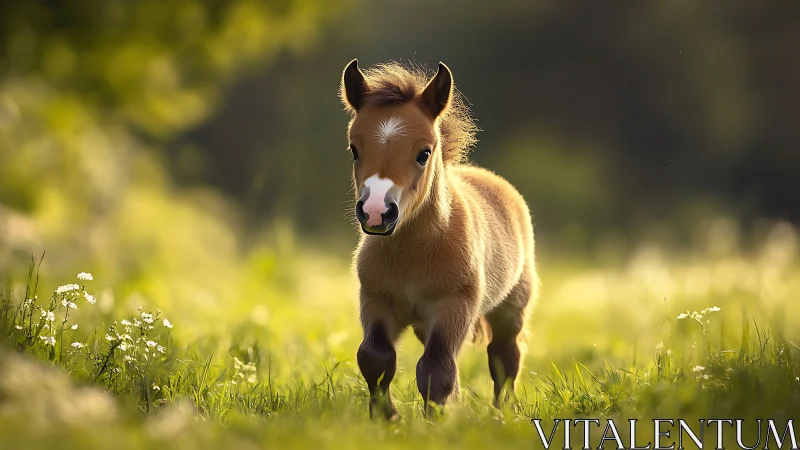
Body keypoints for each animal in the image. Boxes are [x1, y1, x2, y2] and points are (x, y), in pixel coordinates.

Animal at [339, 59, 539, 419]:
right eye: (354, 149)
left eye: (424, 153)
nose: (376, 212)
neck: (411, 253)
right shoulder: (375, 300)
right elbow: (375, 358)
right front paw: (386, 418)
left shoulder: (453, 306)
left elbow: (436, 369)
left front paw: (435, 420)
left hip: (511, 307)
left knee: (505, 356)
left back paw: (500, 412)